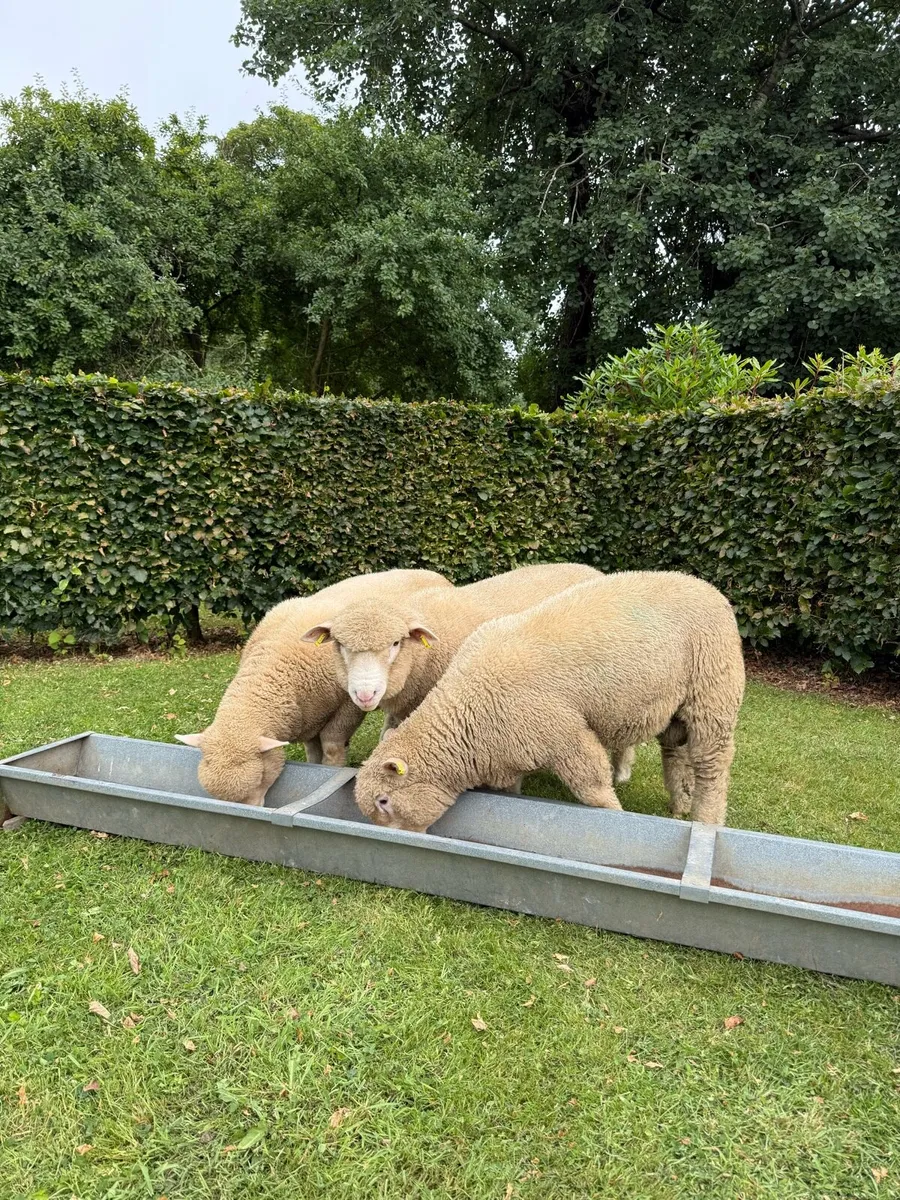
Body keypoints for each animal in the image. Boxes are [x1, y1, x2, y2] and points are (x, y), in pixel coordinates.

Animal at [175, 568, 451, 806]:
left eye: (261, 777)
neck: (277, 670)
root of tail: (432, 573)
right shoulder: (308, 716)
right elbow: (312, 753)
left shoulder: (347, 706)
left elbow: (331, 746)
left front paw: (332, 769)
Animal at [354, 571, 745, 832]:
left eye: (384, 801)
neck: (469, 711)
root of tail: (706, 586)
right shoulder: (511, 751)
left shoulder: (566, 737)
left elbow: (595, 790)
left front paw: (618, 819)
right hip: (675, 706)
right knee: (675, 752)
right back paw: (680, 805)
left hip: (714, 691)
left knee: (712, 764)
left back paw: (707, 821)